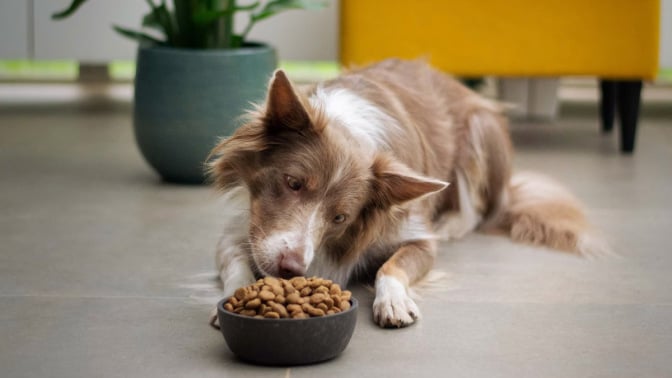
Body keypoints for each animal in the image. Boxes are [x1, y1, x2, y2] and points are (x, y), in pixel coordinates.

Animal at [207, 59, 608, 328]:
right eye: (293, 183)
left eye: (340, 218)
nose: (291, 269)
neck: (349, 128)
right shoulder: (244, 228)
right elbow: (236, 261)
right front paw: (230, 298)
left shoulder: (416, 236)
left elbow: (392, 265)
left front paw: (394, 301)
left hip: (482, 129)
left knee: (479, 211)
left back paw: (451, 224)